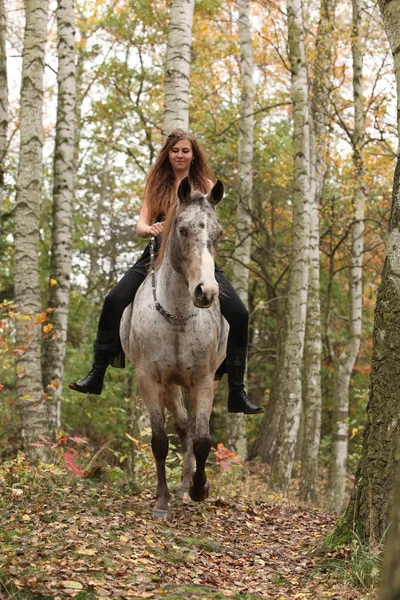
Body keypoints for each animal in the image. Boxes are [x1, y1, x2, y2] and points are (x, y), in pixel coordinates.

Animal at [119, 176, 228, 516]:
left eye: (218, 233)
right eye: (182, 230)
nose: (206, 292)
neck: (177, 315)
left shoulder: (204, 381)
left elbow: (203, 439)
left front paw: (199, 488)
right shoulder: (150, 380)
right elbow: (159, 441)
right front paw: (162, 499)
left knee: (189, 427)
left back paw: (186, 486)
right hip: (169, 386)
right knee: (181, 425)